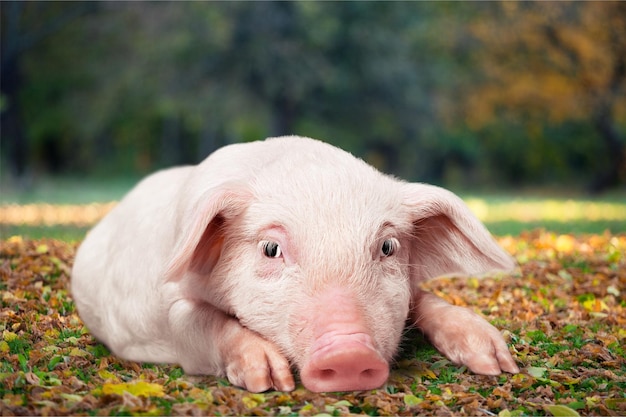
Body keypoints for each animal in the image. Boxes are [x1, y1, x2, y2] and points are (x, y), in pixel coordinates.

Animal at [70, 136, 516, 390]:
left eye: (388, 247)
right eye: (271, 248)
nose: (350, 354)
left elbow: (419, 299)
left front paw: (497, 364)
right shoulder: (164, 313)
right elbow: (194, 322)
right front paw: (271, 380)